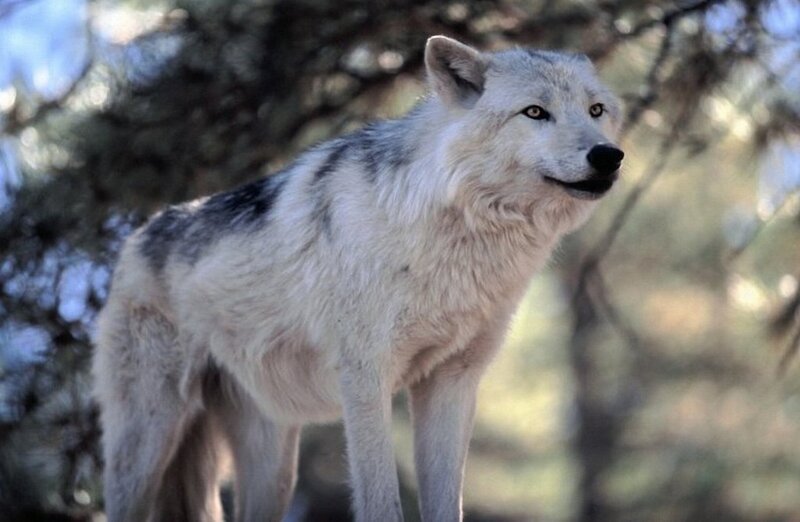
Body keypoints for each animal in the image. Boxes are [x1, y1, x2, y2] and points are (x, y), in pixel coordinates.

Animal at [93, 35, 624, 522]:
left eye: (595, 109)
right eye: (535, 112)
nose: (609, 155)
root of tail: (135, 236)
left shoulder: (452, 383)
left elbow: (446, 504)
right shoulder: (366, 379)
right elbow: (381, 500)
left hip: (272, 465)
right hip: (147, 441)